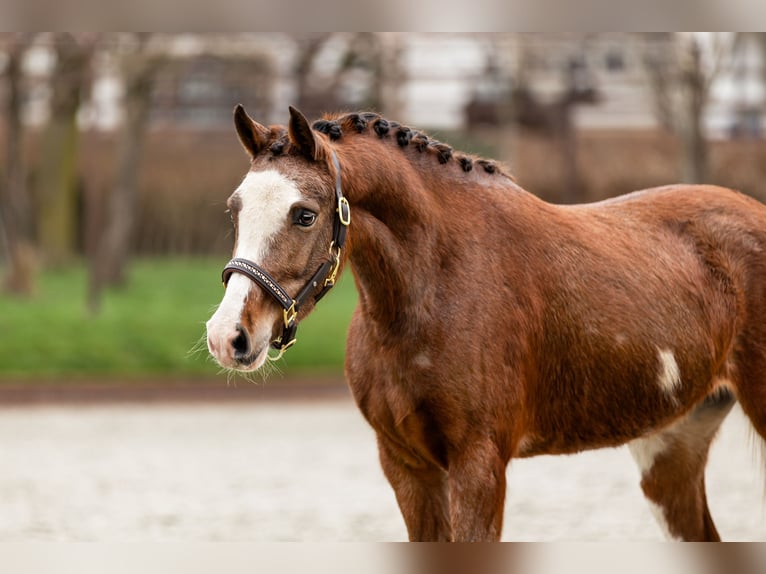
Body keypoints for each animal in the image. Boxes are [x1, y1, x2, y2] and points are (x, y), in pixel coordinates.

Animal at [206, 104, 766, 542]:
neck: (432, 292)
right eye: (234, 209)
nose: (228, 336)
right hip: (670, 450)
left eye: (304, 214)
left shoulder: (479, 465)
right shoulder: (407, 467)